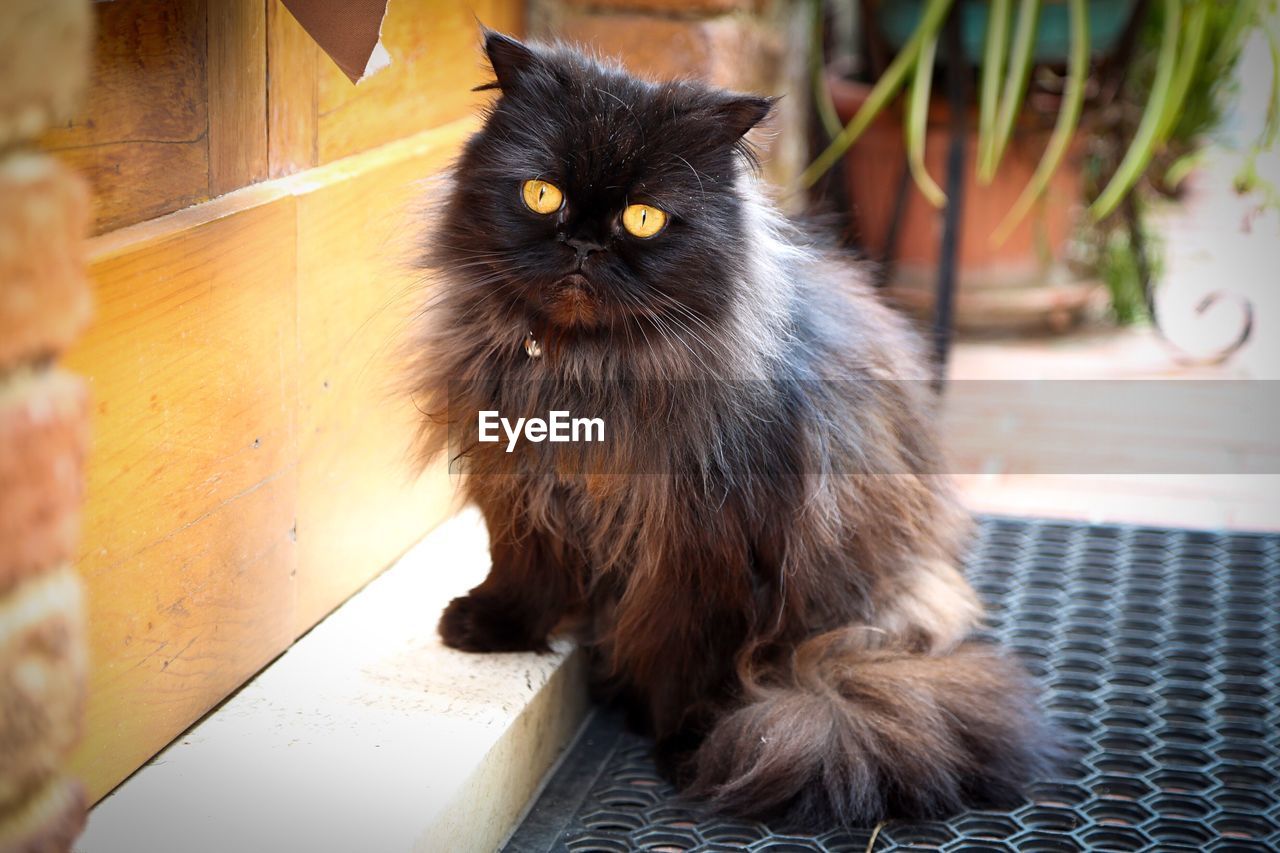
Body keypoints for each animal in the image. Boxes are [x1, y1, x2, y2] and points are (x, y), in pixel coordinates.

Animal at [412, 31, 1059, 824]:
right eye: (542, 195)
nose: (584, 246)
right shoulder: (522, 487)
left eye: (644, 218)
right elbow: (523, 568)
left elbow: (689, 656)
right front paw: (490, 628)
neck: (589, 370)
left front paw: (692, 740)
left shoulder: (709, 547)